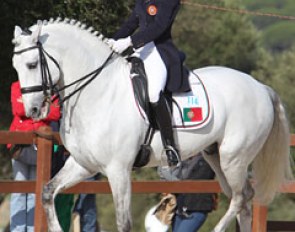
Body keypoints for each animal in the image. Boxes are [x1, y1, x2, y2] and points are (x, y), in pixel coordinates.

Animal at [11, 19, 294, 231]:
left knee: (239, 198)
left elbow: (123, 223)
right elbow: (47, 192)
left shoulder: (118, 170)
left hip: (234, 157)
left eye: (32, 65)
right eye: (16, 66)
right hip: (216, 155)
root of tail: (261, 87)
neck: (99, 91)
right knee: (243, 198)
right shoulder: (83, 164)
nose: (33, 110)